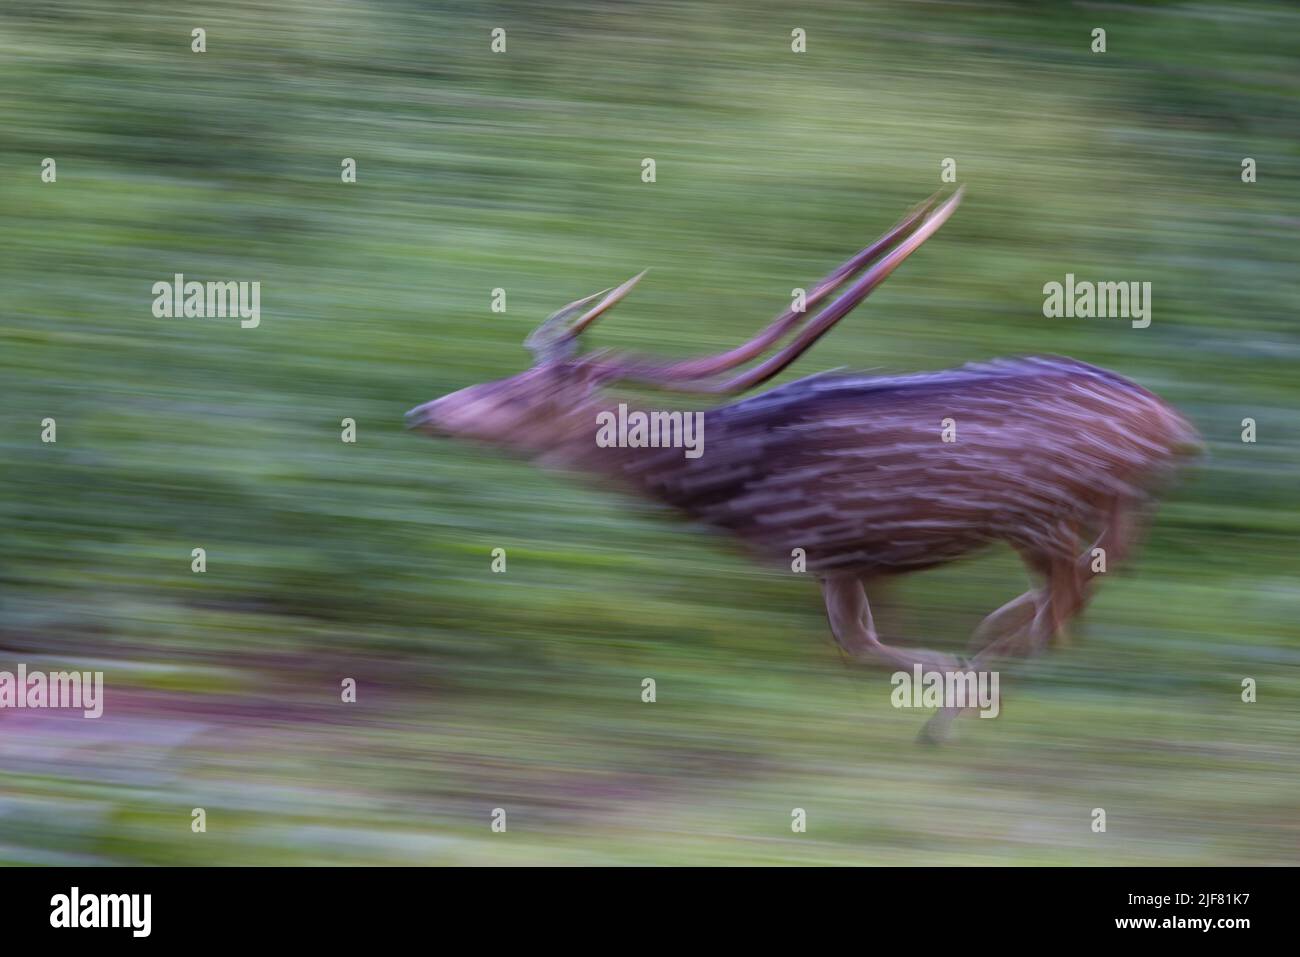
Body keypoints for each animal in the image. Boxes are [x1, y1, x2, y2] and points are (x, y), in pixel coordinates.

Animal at [406, 188, 1201, 740]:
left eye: (519, 393)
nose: (426, 413)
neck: (727, 484)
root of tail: (1173, 425)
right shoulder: (851, 561)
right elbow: (863, 645)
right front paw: (957, 684)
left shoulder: (836, 544)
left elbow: (861, 645)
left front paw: (949, 700)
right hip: (1079, 510)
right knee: (1080, 587)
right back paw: (996, 648)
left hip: (1037, 513)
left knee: (1067, 594)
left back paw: (981, 678)